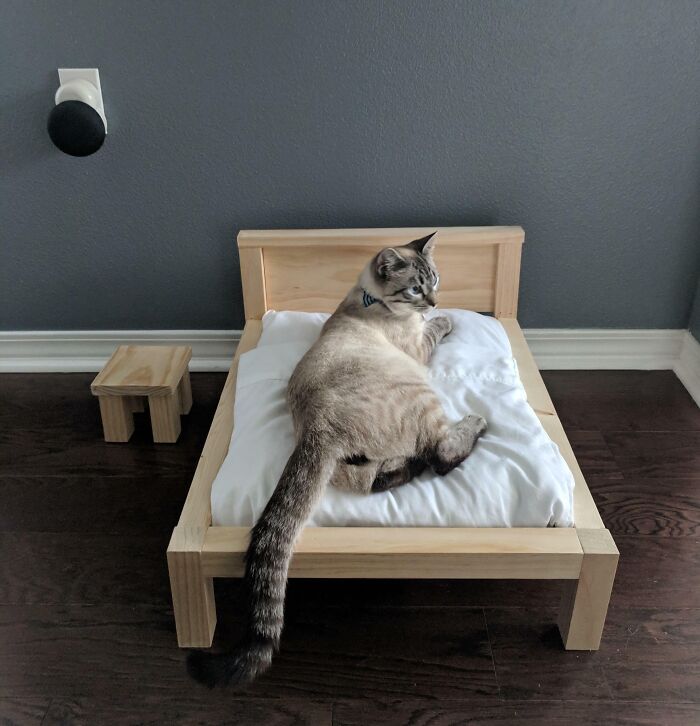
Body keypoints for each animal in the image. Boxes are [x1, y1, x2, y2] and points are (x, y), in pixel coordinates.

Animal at [189, 232, 490, 688]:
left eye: (435, 280)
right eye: (416, 289)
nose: (435, 301)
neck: (368, 299)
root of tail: (319, 429)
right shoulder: (419, 347)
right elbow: (436, 330)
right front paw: (448, 319)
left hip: (353, 464)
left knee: (375, 478)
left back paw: (404, 469)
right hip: (420, 393)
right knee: (438, 453)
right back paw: (474, 423)